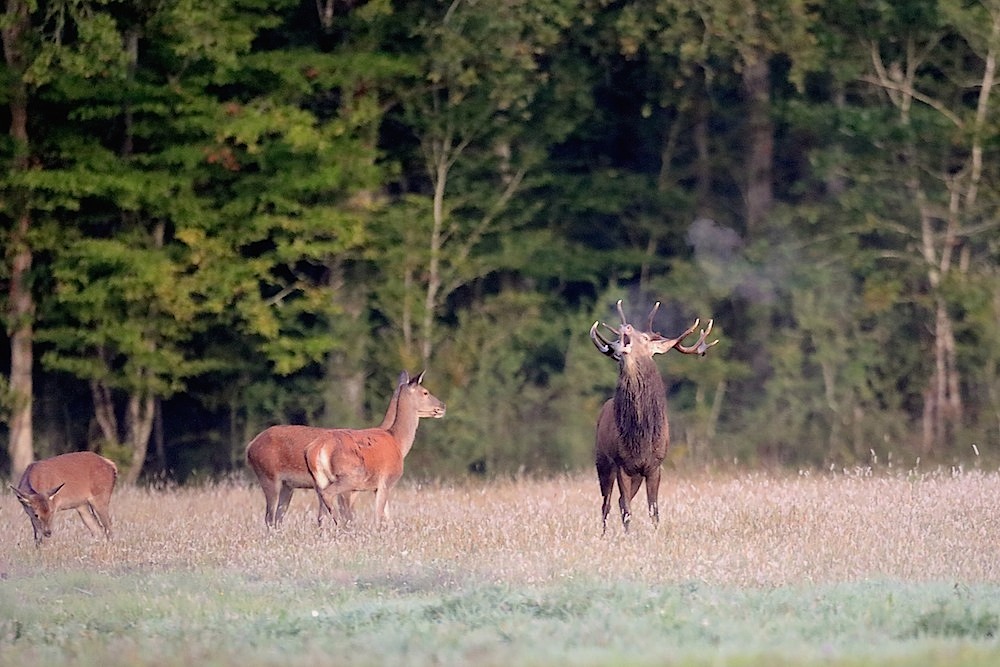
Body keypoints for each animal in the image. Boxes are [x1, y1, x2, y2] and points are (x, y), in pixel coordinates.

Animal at [246, 380, 402, 528]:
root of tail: (250, 447)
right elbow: (346, 515)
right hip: (269, 477)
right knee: (270, 516)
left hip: (287, 485)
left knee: (278, 516)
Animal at [304, 370, 446, 528]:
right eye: (425, 392)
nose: (442, 406)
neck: (398, 442)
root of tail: (317, 449)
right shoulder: (386, 480)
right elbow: (378, 516)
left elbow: (388, 517)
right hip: (349, 477)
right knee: (330, 498)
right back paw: (340, 526)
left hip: (320, 479)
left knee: (321, 513)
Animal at [588, 300, 716, 536]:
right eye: (617, 339)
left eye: (645, 339)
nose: (625, 326)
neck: (642, 436)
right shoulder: (621, 464)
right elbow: (627, 508)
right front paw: (628, 536)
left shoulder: (654, 466)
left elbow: (653, 508)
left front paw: (656, 533)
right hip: (602, 461)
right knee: (607, 503)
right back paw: (603, 534)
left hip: (635, 474)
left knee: (617, 501)